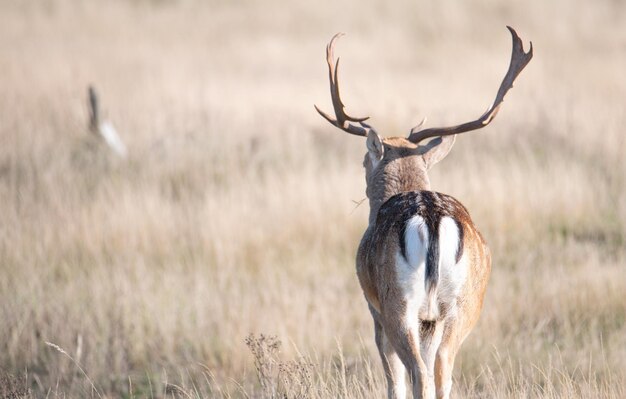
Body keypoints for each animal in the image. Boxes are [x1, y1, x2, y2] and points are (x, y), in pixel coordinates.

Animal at [314, 26, 528, 398]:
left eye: (364, 160)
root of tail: (431, 217)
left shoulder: (373, 306)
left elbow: (392, 377)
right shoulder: (431, 319)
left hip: (399, 303)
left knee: (418, 371)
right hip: (463, 303)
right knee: (443, 367)